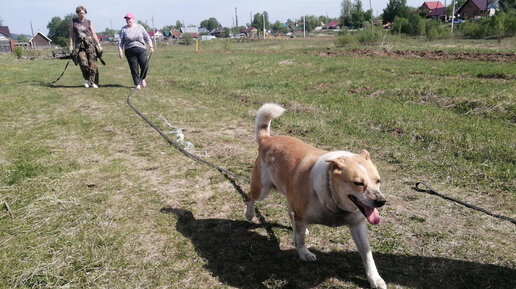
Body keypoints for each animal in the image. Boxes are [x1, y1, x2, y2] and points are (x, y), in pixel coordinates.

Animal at [246, 103, 388, 288]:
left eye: (378, 180)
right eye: (358, 183)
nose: (381, 201)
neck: (332, 199)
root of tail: (267, 139)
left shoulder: (358, 225)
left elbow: (368, 255)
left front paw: (375, 279)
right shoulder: (302, 214)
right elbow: (300, 240)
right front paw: (304, 253)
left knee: (290, 212)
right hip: (262, 189)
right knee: (251, 196)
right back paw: (249, 213)